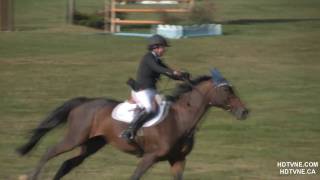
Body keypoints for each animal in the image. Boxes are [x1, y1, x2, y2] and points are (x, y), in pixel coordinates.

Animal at [17, 69, 250, 179]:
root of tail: (84, 102)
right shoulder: (150, 157)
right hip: (74, 138)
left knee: (67, 163)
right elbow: (135, 176)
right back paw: (33, 176)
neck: (181, 119)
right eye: (227, 90)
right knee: (49, 152)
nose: (244, 111)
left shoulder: (178, 160)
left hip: (92, 145)